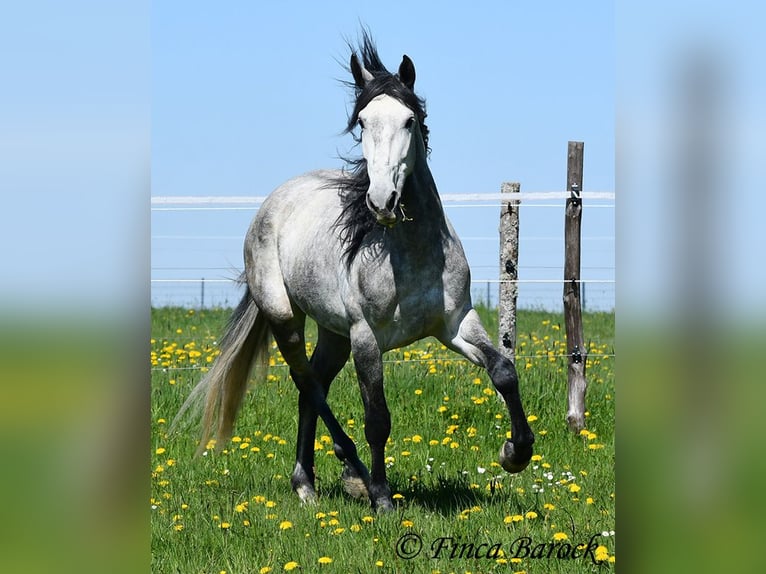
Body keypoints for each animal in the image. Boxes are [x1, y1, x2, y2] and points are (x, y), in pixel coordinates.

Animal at [175, 34, 534, 511]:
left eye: (409, 120)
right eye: (362, 122)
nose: (381, 201)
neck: (409, 254)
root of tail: (275, 202)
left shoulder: (455, 323)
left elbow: (504, 370)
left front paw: (516, 452)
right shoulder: (367, 338)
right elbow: (377, 418)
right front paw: (380, 497)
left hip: (334, 334)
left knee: (313, 386)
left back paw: (307, 482)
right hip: (287, 318)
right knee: (307, 383)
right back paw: (349, 473)